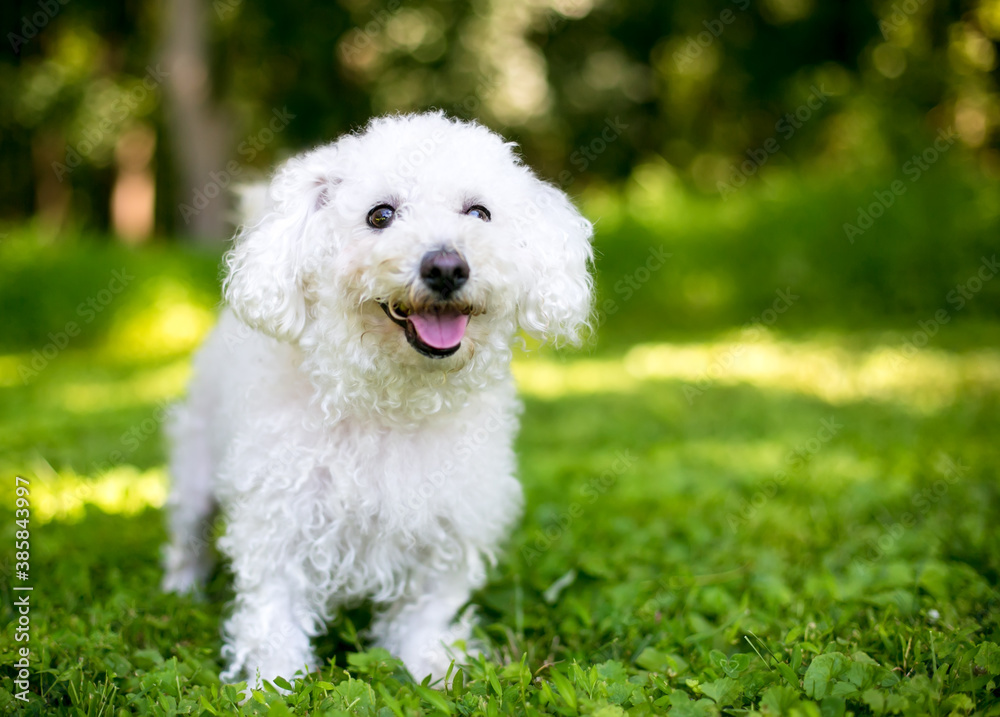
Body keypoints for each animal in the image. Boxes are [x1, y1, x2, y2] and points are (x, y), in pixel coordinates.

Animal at [162, 113, 592, 688]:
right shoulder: (280, 522)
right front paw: (271, 685)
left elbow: (426, 613)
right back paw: (180, 588)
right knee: (187, 537)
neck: (396, 400)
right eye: (381, 215)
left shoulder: (447, 527)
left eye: (479, 213)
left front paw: (431, 666)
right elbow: (273, 616)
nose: (446, 266)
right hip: (195, 471)